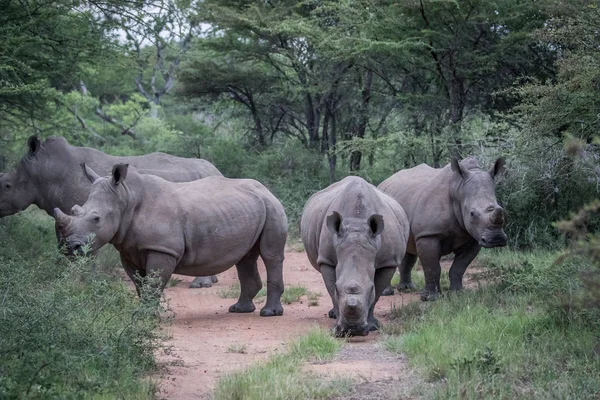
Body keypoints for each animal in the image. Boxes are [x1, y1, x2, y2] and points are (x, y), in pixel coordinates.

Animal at [0, 136, 223, 290]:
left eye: (7, 186)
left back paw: (199, 285)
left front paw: (85, 280)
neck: (45, 171)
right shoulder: (68, 215)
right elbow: (63, 239)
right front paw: (64, 274)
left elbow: (88, 249)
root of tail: (218, 170)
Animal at [54, 164, 288, 318]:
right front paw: (143, 314)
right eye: (75, 210)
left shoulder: (163, 249)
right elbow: (140, 284)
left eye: (96, 219)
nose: (70, 248)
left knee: (270, 256)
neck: (126, 199)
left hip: (272, 206)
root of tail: (266, 189)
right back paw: (239, 310)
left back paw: (269, 313)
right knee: (245, 257)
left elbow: (154, 283)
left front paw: (147, 316)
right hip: (250, 208)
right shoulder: (128, 250)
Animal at [302, 177, 410, 336]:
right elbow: (331, 290)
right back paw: (333, 315)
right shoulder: (326, 259)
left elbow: (377, 292)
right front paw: (338, 326)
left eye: (370, 288)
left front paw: (372, 326)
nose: (352, 330)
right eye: (337, 288)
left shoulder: (388, 261)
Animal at [380, 156, 506, 300]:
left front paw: (457, 294)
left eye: (501, 208)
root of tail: (383, 183)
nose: (496, 239)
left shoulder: (473, 238)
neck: (458, 188)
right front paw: (430, 298)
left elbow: (459, 267)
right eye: (472, 214)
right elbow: (432, 267)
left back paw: (407, 288)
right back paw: (386, 293)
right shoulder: (428, 234)